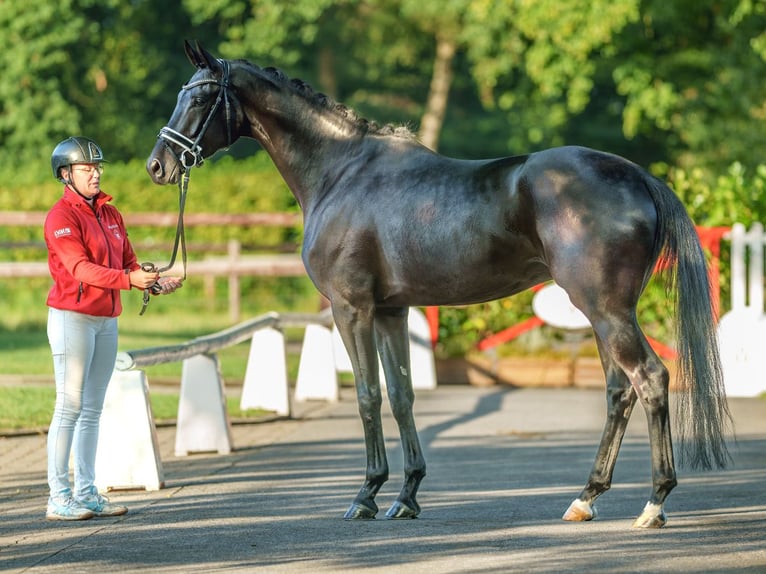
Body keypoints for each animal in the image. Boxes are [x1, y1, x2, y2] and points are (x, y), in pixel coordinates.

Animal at [146, 41, 732, 532]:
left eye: (201, 97)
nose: (158, 165)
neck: (342, 173)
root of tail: (637, 176)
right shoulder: (391, 311)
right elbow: (402, 395)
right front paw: (405, 496)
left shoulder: (351, 309)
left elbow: (367, 395)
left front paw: (365, 495)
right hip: (603, 314)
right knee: (619, 390)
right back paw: (585, 498)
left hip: (606, 311)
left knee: (651, 379)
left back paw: (653, 504)